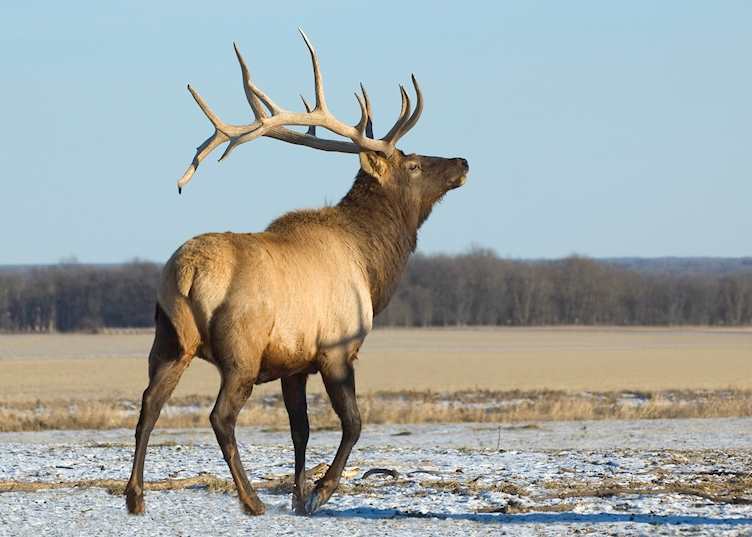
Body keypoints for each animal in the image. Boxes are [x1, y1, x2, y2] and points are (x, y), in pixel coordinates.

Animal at [125, 29, 468, 517]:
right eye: (413, 162)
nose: (462, 162)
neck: (372, 266)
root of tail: (186, 272)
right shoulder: (337, 348)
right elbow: (353, 422)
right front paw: (320, 492)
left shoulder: (293, 363)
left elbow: (300, 431)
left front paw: (298, 493)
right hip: (240, 350)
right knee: (220, 416)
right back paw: (250, 499)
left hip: (169, 339)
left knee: (149, 404)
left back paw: (135, 496)